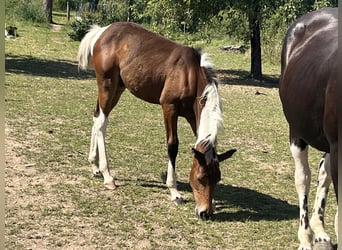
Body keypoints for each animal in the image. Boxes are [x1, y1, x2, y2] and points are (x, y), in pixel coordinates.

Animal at [77, 22, 235, 220]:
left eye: (217, 178)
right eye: (201, 178)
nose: (205, 213)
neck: (190, 74)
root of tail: (102, 31)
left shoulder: (192, 116)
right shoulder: (169, 107)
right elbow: (172, 145)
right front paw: (175, 192)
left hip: (118, 88)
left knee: (97, 116)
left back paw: (95, 166)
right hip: (107, 85)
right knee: (101, 124)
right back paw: (108, 176)